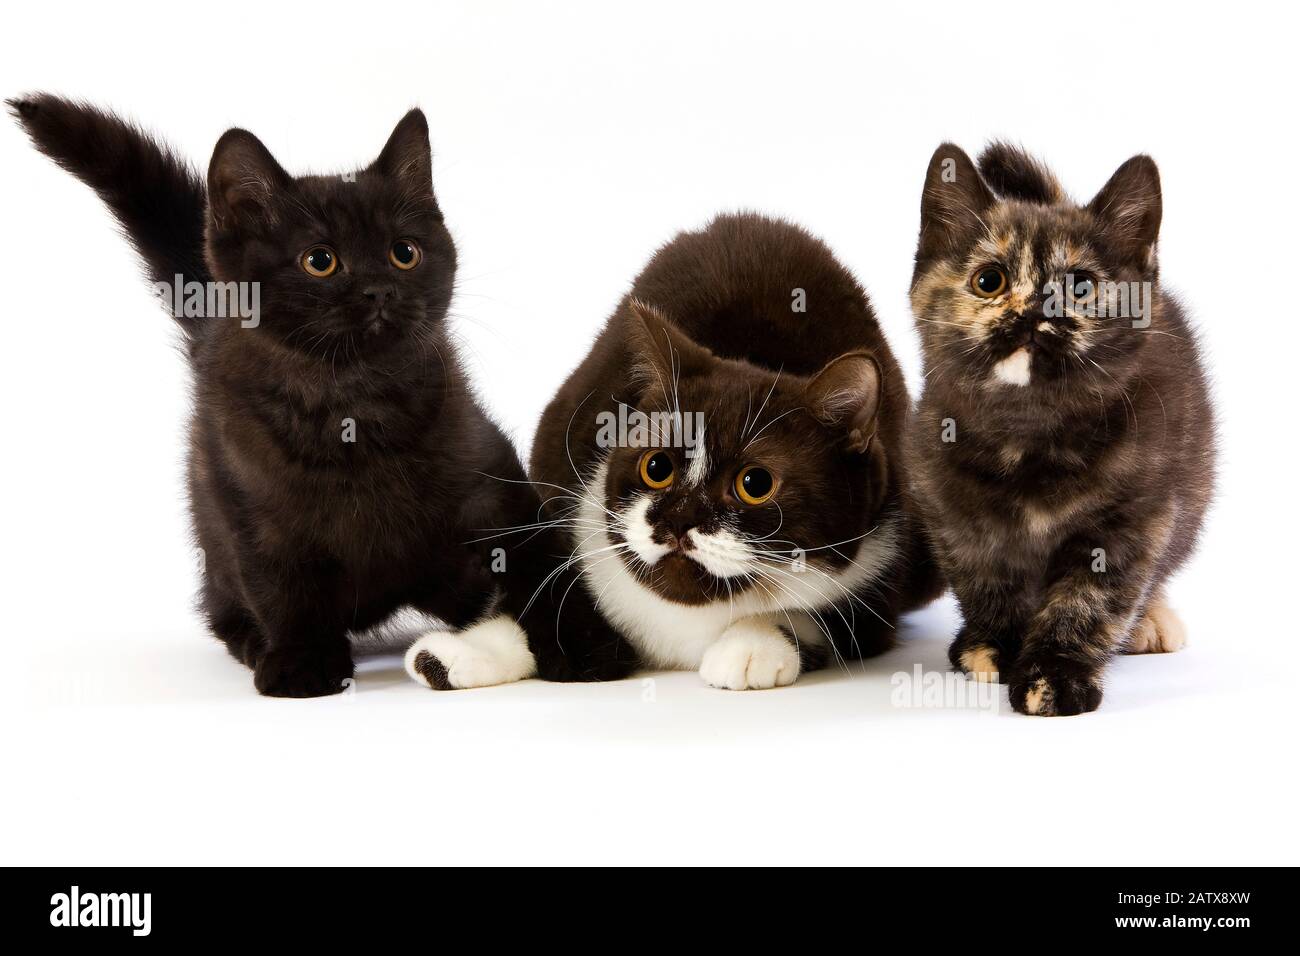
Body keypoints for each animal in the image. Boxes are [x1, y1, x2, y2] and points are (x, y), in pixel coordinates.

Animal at [10, 95, 629, 697]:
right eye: (320, 261)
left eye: (405, 252)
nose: (380, 289)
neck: (355, 402)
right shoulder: (252, 505)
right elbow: (282, 587)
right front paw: (301, 663)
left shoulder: (491, 483)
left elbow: (542, 564)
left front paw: (585, 647)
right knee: (222, 604)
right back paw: (251, 641)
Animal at [400, 214, 941, 691]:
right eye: (656, 466)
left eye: (755, 483)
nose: (678, 518)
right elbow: (546, 591)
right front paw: (462, 651)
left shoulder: (883, 559)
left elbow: (820, 618)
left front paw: (753, 645)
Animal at [904, 143, 1216, 717]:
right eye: (989, 280)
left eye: (1082, 286)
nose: (1034, 311)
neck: (1029, 430)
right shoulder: (943, 498)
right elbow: (983, 575)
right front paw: (996, 645)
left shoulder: (1133, 518)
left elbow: (1090, 599)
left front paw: (1055, 675)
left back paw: (1151, 621)